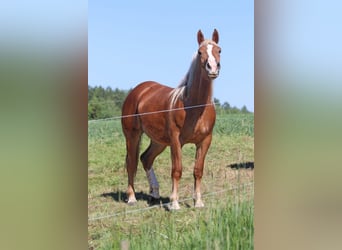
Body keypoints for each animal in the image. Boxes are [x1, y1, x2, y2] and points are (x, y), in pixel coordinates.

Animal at [121, 28, 222, 209]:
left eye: (219, 50)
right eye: (200, 52)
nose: (213, 68)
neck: (193, 106)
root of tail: (139, 91)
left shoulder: (205, 141)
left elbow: (198, 170)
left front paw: (198, 202)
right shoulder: (176, 140)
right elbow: (177, 169)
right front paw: (174, 203)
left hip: (159, 141)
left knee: (145, 158)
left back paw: (154, 193)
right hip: (132, 135)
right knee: (131, 163)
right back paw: (132, 198)